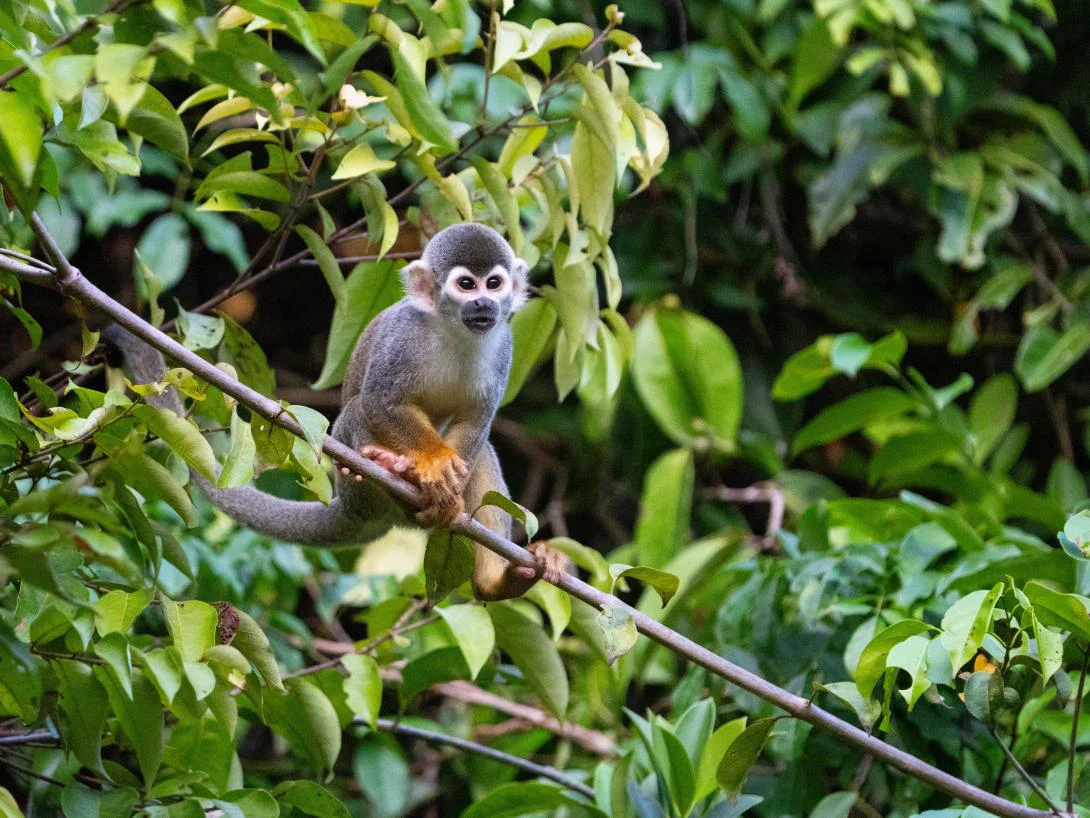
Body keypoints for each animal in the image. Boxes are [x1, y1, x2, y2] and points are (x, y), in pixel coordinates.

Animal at [105, 222, 565, 601]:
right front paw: (435, 465)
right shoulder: (401, 337)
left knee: (481, 452)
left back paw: (495, 583)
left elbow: (476, 423)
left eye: (494, 283)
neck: (454, 330)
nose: (485, 304)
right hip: (358, 487)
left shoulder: (503, 347)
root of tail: (352, 509)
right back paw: (392, 472)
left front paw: (449, 488)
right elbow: (379, 402)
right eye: (467, 285)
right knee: (356, 415)